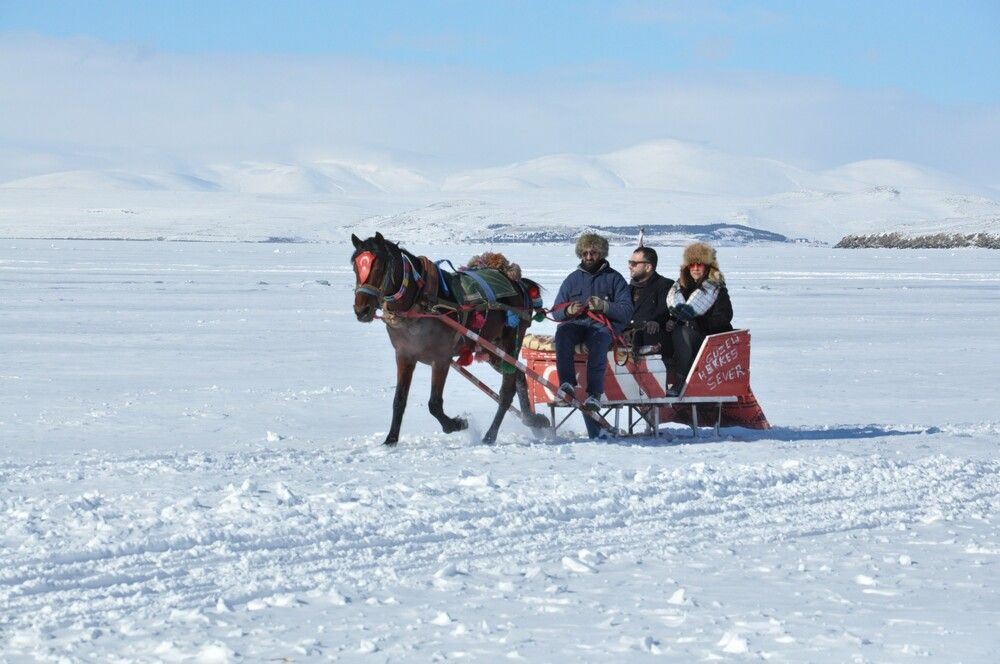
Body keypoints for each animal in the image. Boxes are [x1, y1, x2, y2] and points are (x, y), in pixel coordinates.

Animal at [352, 233, 552, 446]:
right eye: (355, 267)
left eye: (379, 267)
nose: (361, 310)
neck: (420, 302)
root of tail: (519, 283)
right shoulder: (405, 355)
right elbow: (399, 400)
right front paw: (390, 441)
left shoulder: (441, 358)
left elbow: (434, 404)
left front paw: (457, 424)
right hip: (492, 350)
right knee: (520, 377)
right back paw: (534, 422)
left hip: (510, 342)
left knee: (506, 392)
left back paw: (490, 435)